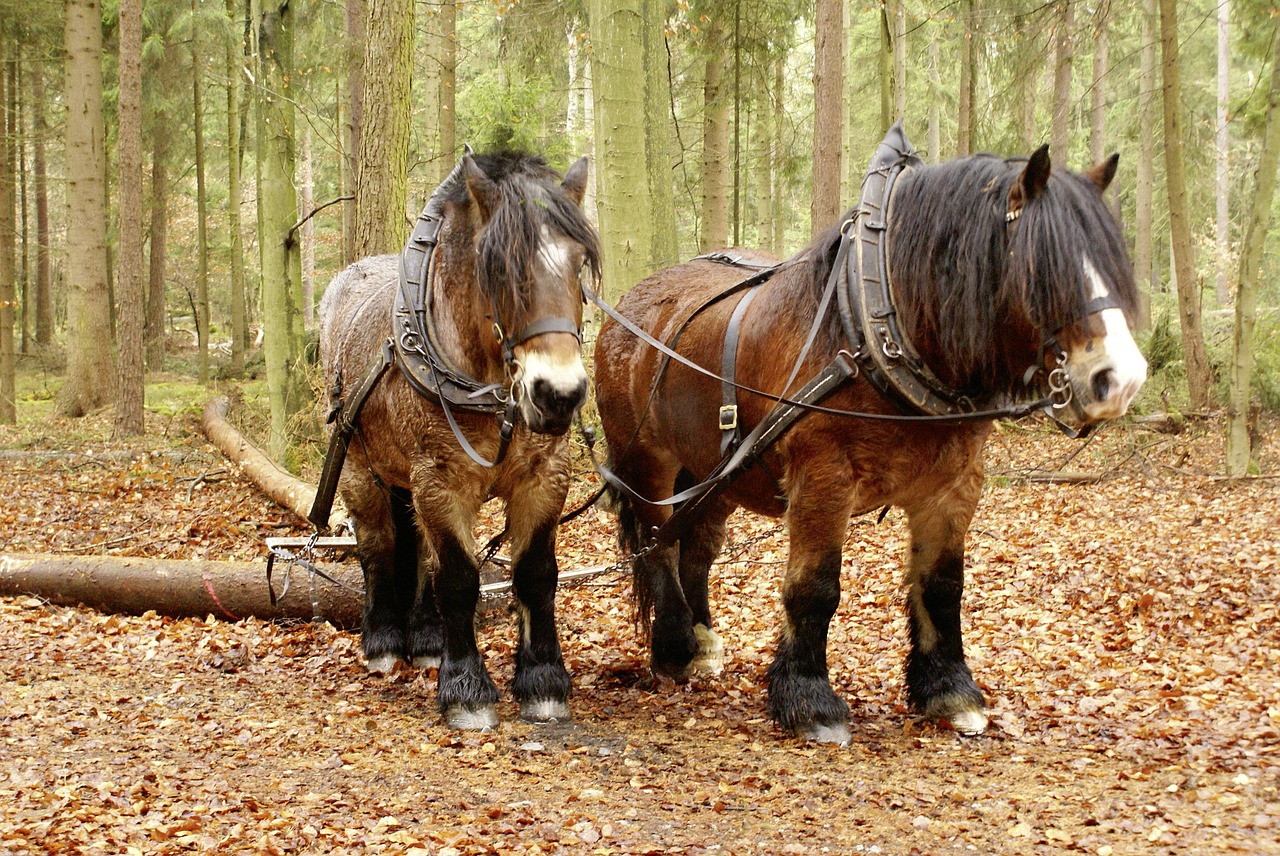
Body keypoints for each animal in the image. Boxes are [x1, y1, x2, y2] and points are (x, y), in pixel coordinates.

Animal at [320, 151, 599, 726]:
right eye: (496, 266)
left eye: (579, 262)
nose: (558, 394)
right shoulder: (440, 480)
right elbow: (458, 578)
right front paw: (466, 687)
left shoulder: (544, 477)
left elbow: (535, 573)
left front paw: (542, 680)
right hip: (360, 467)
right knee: (378, 544)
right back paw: (384, 641)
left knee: (419, 549)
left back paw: (427, 639)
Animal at [593, 126, 1146, 742]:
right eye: (1044, 267)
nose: (1120, 379)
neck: (869, 325)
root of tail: (629, 306)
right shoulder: (823, 477)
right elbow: (815, 587)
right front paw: (809, 699)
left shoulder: (954, 486)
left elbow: (942, 586)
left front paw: (950, 691)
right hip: (648, 462)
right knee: (658, 542)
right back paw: (673, 648)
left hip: (717, 471)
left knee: (698, 546)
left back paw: (701, 640)